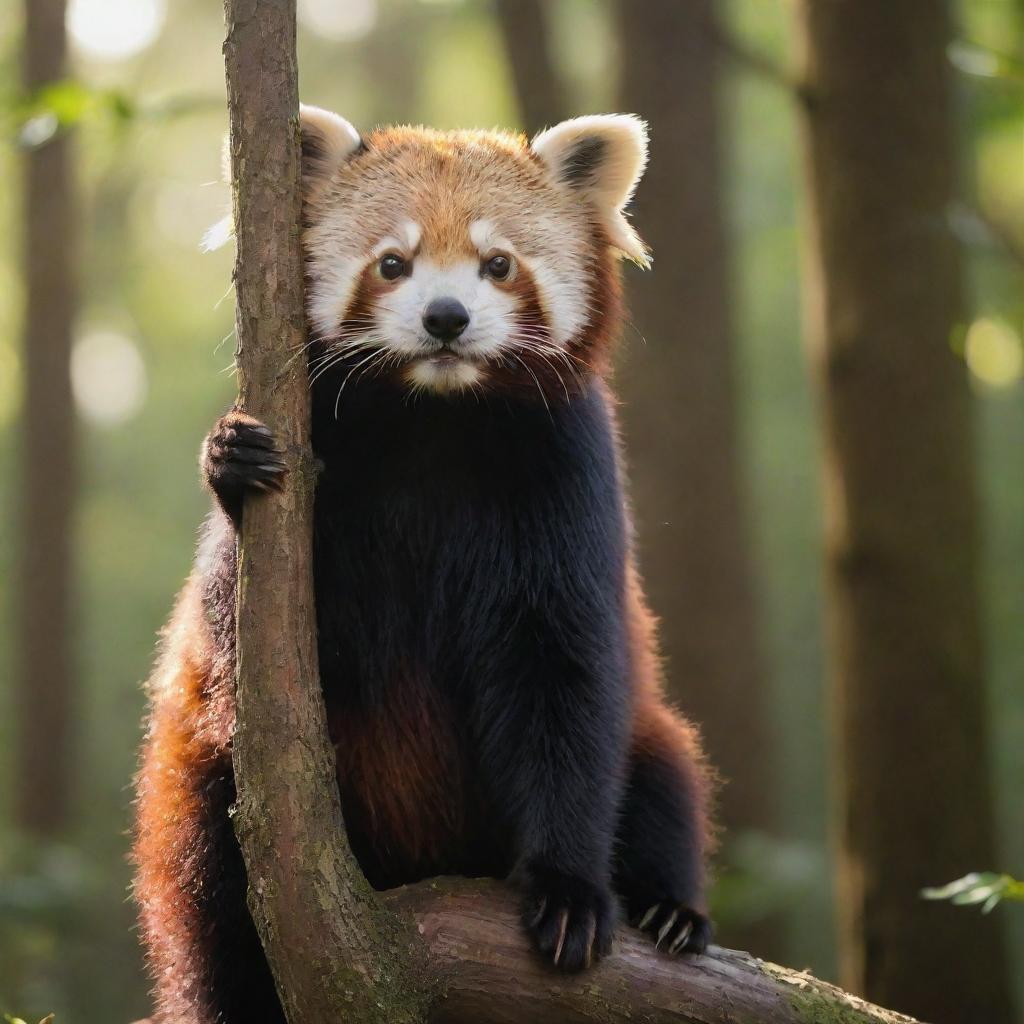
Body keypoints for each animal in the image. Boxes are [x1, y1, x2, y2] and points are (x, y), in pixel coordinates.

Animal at [134, 105, 712, 1024]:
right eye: (392, 263)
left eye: (497, 263)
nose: (446, 318)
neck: (434, 415)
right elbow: (248, 625)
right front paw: (229, 459)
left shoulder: (564, 477)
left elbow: (567, 678)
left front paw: (569, 890)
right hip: (195, 791)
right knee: (208, 909)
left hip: (650, 738)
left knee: (663, 770)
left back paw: (670, 911)